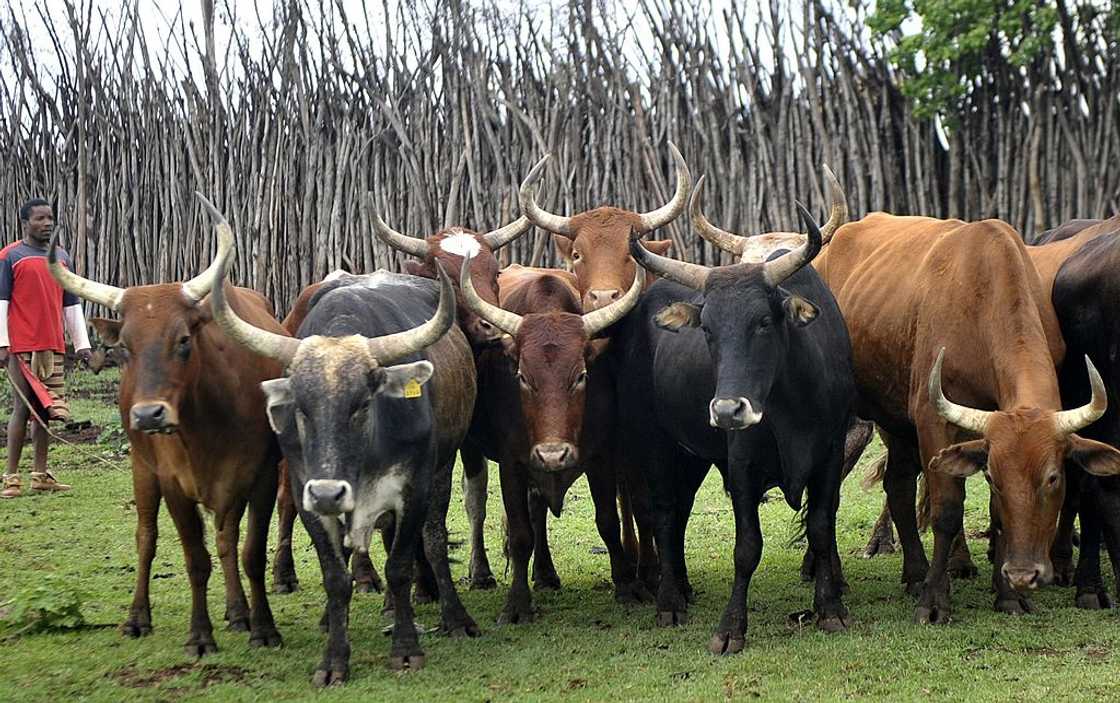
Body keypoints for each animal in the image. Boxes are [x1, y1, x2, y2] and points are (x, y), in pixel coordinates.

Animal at [46, 197, 285, 656]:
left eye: (183, 340)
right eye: (125, 347)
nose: (148, 416)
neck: (209, 421)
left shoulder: (261, 474)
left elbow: (249, 552)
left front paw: (263, 627)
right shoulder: (173, 481)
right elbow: (195, 559)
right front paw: (200, 636)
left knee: (226, 540)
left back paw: (239, 612)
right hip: (143, 469)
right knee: (146, 537)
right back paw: (137, 618)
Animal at [205, 204, 477, 685]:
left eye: (362, 403)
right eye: (300, 406)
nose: (330, 492)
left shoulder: (414, 487)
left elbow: (401, 561)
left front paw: (407, 648)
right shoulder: (306, 492)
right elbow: (335, 575)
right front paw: (333, 657)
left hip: (442, 468)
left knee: (432, 537)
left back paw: (452, 614)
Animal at [457, 255, 647, 622]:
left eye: (581, 376)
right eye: (522, 376)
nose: (553, 455)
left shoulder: (600, 456)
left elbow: (607, 521)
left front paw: (625, 587)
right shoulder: (512, 463)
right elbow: (519, 535)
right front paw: (517, 604)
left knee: (538, 508)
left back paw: (545, 573)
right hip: (471, 449)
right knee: (476, 504)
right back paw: (480, 573)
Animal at [610, 198, 855, 653]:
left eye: (763, 321)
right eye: (706, 328)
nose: (727, 411)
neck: (792, 405)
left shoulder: (831, 452)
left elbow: (820, 526)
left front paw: (830, 610)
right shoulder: (741, 466)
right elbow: (747, 548)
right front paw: (730, 628)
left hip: (691, 456)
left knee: (681, 512)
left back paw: (684, 587)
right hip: (655, 442)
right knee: (664, 512)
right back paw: (670, 602)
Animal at [812, 212, 1120, 623]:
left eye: (1053, 477)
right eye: (992, 477)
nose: (1024, 573)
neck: (981, 299)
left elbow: (996, 514)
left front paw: (1008, 596)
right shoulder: (933, 422)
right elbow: (946, 511)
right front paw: (934, 601)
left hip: (894, 420)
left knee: (898, 486)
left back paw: (915, 574)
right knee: (830, 494)